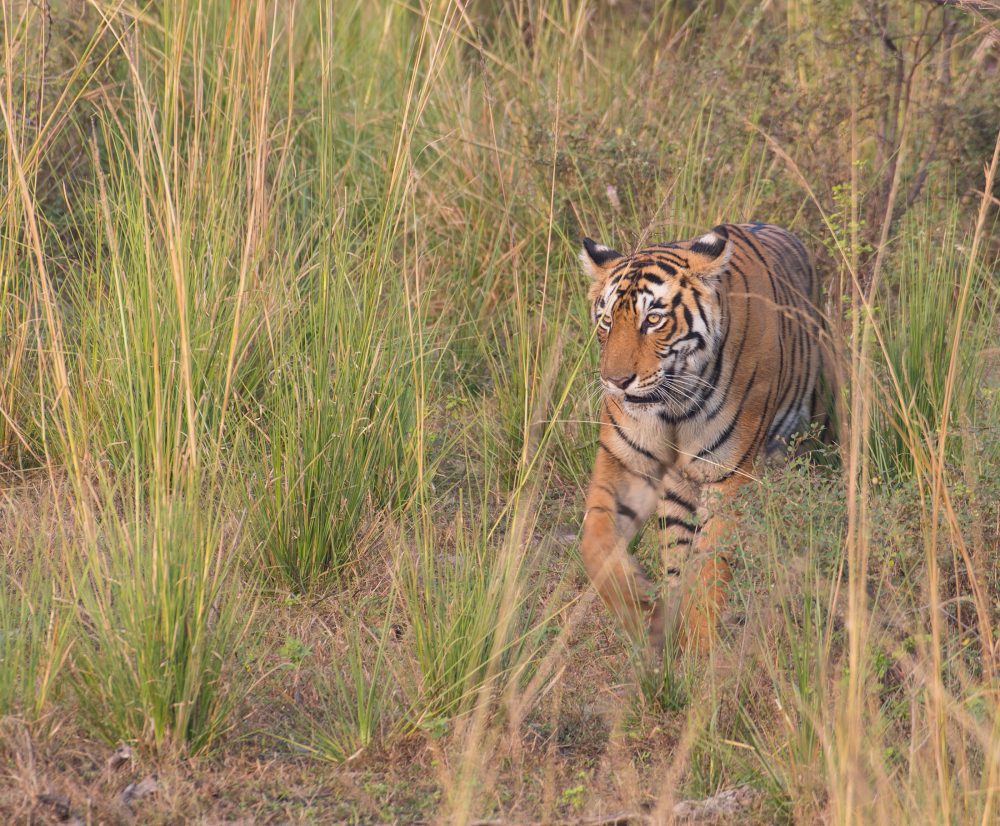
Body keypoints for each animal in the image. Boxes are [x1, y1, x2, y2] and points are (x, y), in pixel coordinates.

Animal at [576, 222, 824, 652]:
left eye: (653, 319)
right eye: (606, 321)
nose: (615, 382)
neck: (672, 408)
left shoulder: (729, 475)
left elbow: (711, 565)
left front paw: (702, 651)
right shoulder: (624, 461)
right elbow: (594, 539)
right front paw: (638, 608)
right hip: (676, 492)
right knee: (676, 552)